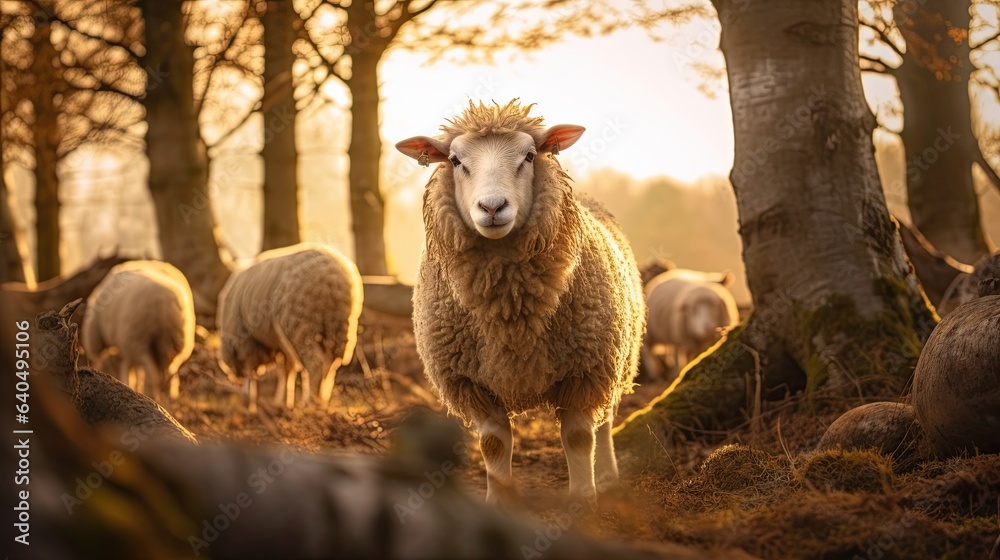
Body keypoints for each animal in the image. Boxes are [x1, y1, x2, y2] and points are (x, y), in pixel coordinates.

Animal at [81, 260, 195, 400]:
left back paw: (150, 395)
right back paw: (168, 397)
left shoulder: (128, 343)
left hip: (137, 340)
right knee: (167, 373)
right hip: (172, 343)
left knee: (151, 373)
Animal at [216, 243, 363, 411]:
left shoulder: (247, 339)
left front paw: (250, 401)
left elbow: (251, 371)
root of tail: (333, 277)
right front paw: (284, 402)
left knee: (315, 364)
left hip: (303, 325)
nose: (235, 377)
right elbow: (287, 371)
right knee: (331, 364)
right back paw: (322, 400)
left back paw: (310, 402)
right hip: (339, 326)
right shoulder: (281, 344)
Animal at [395, 100, 645, 504]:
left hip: (615, 356)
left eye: (528, 156)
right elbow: (494, 446)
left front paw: (583, 501)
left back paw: (608, 478)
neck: (511, 307)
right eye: (455, 160)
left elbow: (579, 438)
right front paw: (499, 500)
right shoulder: (472, 383)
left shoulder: (585, 371)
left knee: (605, 422)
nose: (492, 207)